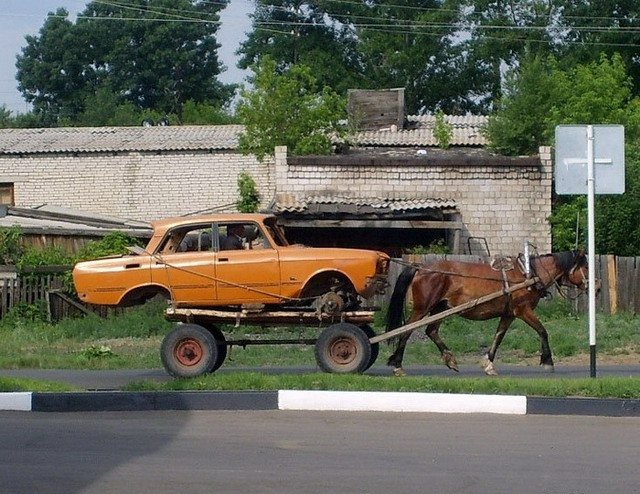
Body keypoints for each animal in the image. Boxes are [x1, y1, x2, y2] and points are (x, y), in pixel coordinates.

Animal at [384, 253, 592, 376]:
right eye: (586, 267)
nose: (595, 286)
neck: (529, 275)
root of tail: (421, 267)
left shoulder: (509, 314)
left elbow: (498, 337)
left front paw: (488, 364)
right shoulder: (523, 310)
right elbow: (542, 331)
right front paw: (548, 361)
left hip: (440, 308)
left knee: (431, 331)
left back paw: (450, 359)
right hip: (422, 308)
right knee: (406, 331)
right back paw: (398, 365)